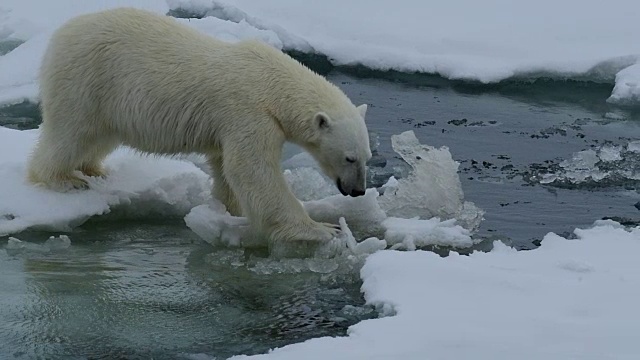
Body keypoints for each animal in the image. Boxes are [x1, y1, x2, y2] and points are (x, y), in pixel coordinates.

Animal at [27, 8, 372, 243]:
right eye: (349, 157)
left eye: (366, 156)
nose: (358, 190)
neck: (271, 82)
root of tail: (59, 35)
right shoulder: (248, 112)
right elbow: (252, 170)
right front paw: (322, 229)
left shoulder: (229, 125)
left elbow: (226, 169)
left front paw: (231, 211)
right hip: (87, 80)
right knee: (71, 132)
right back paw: (64, 179)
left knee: (99, 137)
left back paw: (93, 169)